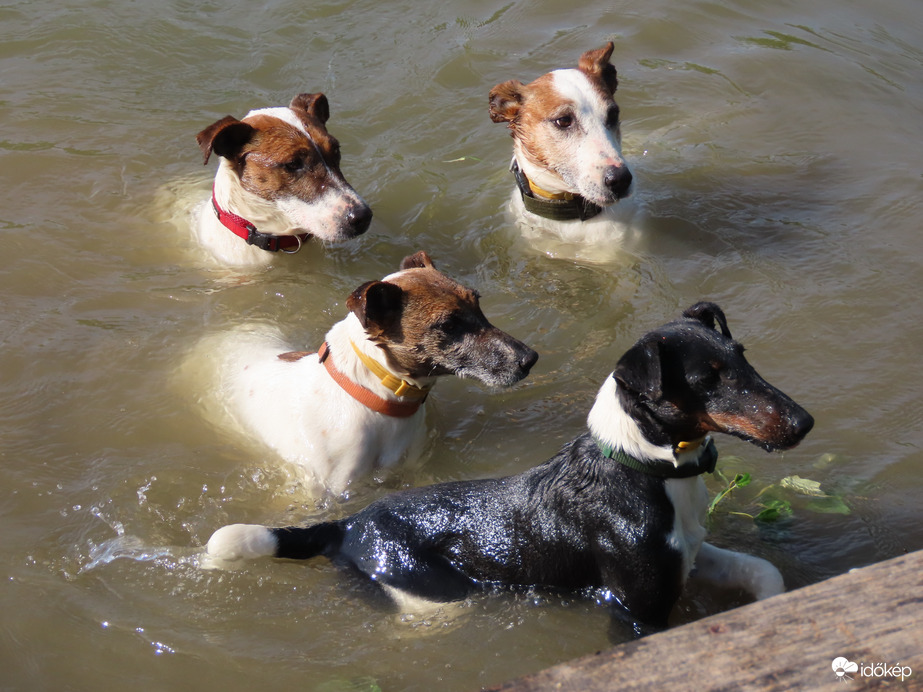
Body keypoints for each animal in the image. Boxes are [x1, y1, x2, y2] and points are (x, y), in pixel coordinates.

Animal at [206, 302, 812, 632]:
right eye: (709, 379)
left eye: (743, 358)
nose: (804, 422)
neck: (645, 468)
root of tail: (347, 525)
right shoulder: (636, 609)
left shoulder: (689, 554)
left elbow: (764, 571)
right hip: (433, 598)